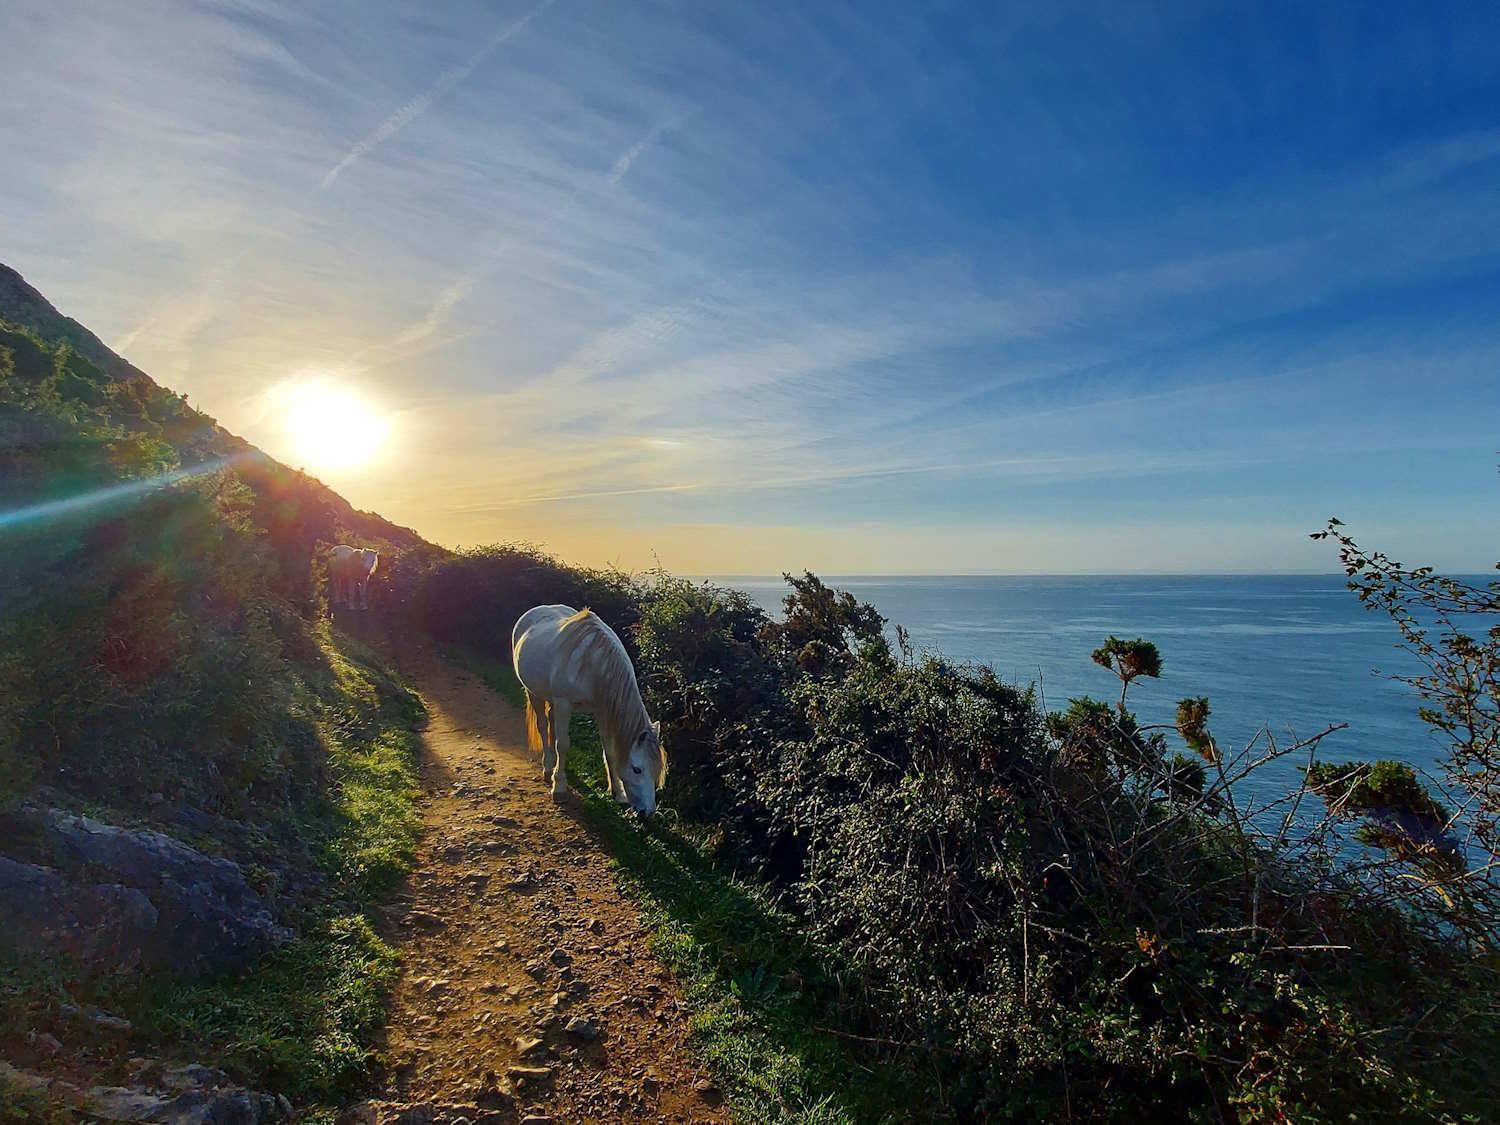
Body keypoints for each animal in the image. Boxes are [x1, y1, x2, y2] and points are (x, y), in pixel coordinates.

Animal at [513, 603, 666, 816]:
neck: (593, 662)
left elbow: (609, 749)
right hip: (534, 693)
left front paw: (618, 793)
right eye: (637, 769)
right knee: (543, 726)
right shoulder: (564, 703)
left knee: (551, 723)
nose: (647, 812)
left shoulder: (602, 710)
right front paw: (559, 788)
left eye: (657, 769)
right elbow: (563, 744)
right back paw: (548, 768)